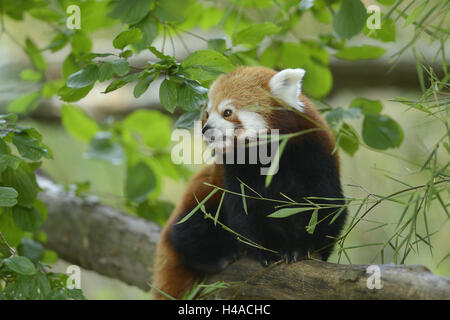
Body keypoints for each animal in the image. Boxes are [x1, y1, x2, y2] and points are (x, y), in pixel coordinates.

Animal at [153, 66, 346, 298]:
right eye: (207, 113)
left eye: (227, 112)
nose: (206, 129)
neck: (266, 154)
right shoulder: (235, 173)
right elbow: (245, 212)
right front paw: (268, 249)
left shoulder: (313, 153)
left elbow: (325, 206)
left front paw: (304, 247)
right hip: (202, 198)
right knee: (188, 229)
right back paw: (222, 254)